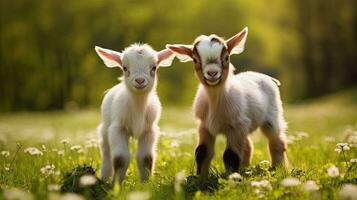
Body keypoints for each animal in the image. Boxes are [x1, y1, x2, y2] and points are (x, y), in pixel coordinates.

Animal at [94, 43, 173, 184]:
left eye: (154, 67)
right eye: (125, 68)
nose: (140, 80)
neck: (138, 108)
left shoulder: (149, 130)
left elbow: (146, 158)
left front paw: (146, 183)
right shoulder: (118, 128)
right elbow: (120, 158)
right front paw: (116, 184)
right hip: (104, 128)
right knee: (106, 151)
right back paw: (104, 178)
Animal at [166, 27, 286, 175]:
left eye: (226, 57)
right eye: (195, 60)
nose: (212, 73)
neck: (215, 100)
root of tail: (268, 78)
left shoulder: (235, 127)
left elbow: (230, 155)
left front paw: (230, 177)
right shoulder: (205, 126)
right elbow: (201, 152)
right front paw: (200, 177)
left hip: (272, 117)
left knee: (276, 142)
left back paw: (278, 168)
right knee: (248, 146)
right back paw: (245, 169)